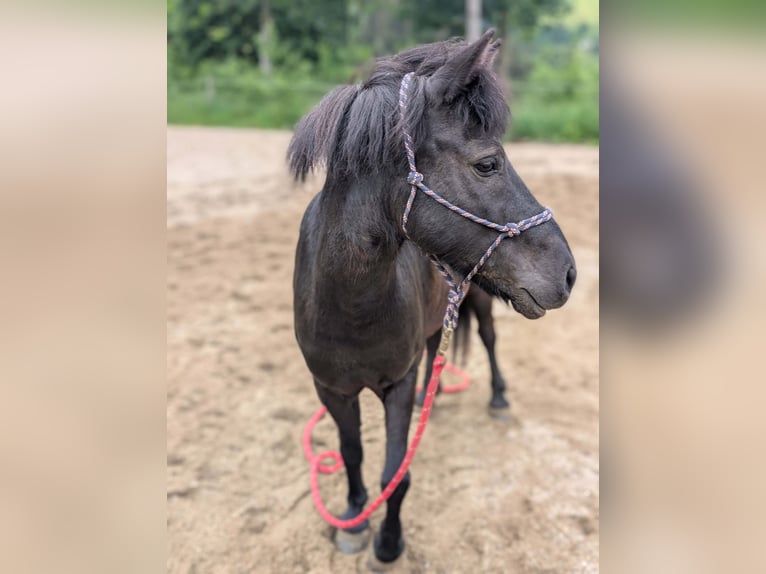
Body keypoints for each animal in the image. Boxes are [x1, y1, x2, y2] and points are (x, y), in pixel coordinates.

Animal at [289, 30, 576, 565]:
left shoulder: (395, 385)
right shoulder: (331, 389)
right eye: (488, 164)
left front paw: (388, 542)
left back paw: (497, 397)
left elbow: (395, 471)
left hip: (480, 301)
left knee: (487, 341)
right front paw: (354, 517)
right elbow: (352, 453)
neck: (349, 306)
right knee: (431, 353)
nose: (568, 273)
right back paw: (435, 395)